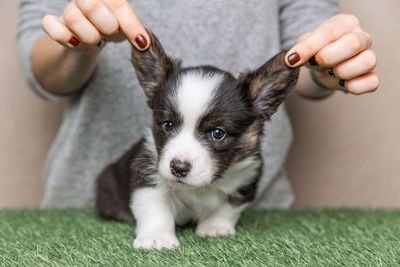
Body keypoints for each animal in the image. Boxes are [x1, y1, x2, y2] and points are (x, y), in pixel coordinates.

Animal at [95, 30, 298, 250]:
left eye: (217, 133)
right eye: (168, 125)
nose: (178, 168)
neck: (201, 186)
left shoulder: (245, 181)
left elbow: (227, 208)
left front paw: (214, 228)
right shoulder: (147, 176)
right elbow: (155, 209)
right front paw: (157, 238)